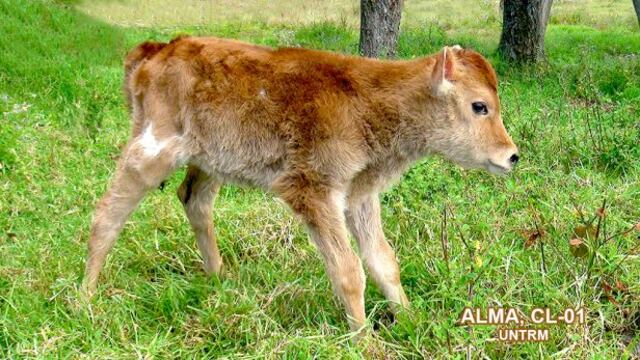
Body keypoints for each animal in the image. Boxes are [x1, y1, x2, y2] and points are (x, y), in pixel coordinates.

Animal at [85, 35, 516, 332]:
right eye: (479, 106)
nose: (511, 156)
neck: (367, 101)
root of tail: (158, 50)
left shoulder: (360, 195)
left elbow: (383, 262)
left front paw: (410, 321)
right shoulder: (315, 193)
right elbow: (348, 272)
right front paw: (364, 339)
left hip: (209, 162)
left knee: (194, 200)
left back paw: (219, 281)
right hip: (151, 152)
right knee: (107, 213)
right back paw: (86, 297)